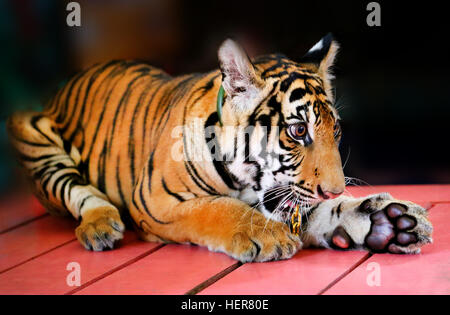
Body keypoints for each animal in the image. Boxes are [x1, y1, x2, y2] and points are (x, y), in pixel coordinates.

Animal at [7, 34, 432, 264]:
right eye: (298, 131)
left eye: (337, 130)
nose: (335, 189)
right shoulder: (155, 201)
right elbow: (216, 208)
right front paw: (271, 238)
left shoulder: (288, 195)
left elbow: (321, 210)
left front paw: (389, 222)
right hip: (30, 130)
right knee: (77, 191)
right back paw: (100, 227)